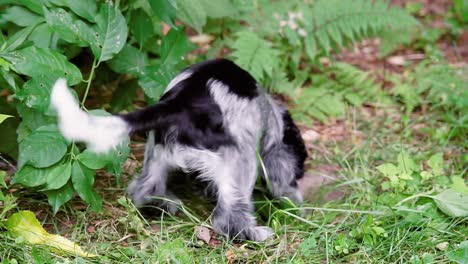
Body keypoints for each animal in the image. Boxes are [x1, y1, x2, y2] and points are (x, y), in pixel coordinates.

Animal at [51, 59, 308, 241]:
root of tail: (182, 102)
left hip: (156, 154)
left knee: (144, 188)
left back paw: (161, 205)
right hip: (241, 161)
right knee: (228, 217)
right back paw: (254, 234)